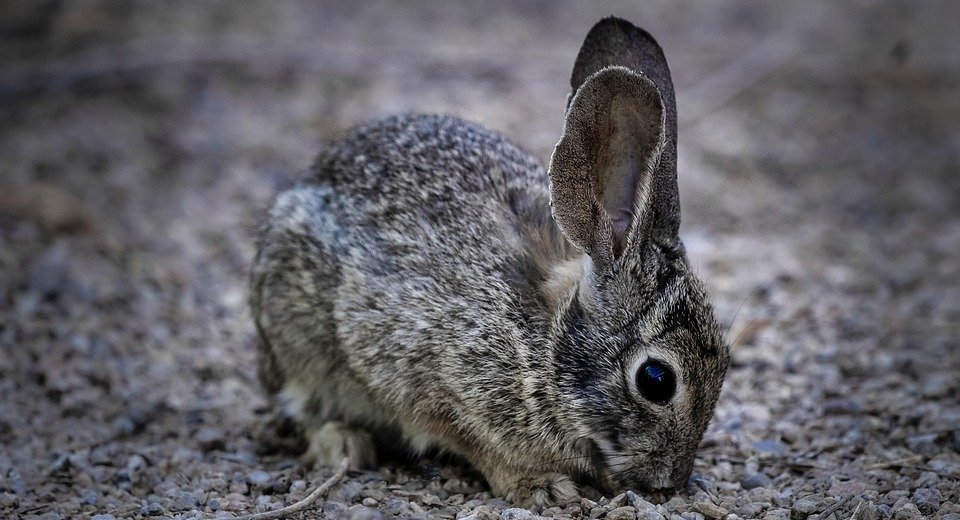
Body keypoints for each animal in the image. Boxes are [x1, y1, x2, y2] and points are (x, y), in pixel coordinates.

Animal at [249, 17, 728, 508]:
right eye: (656, 380)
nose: (670, 481)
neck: (542, 343)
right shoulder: (428, 380)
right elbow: (475, 442)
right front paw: (540, 486)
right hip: (298, 341)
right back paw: (344, 442)